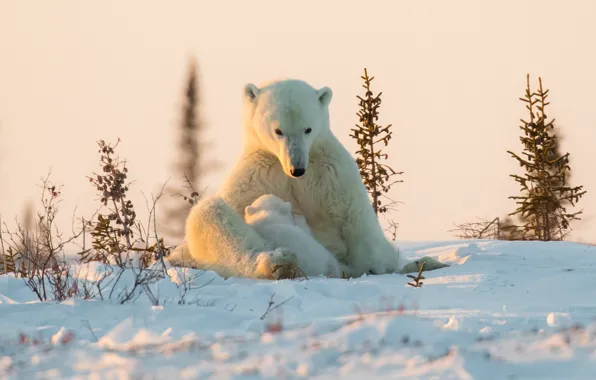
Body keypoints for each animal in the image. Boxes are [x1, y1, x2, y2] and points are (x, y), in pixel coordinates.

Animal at [169, 78, 448, 280]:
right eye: (278, 130)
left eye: (308, 128)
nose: (297, 169)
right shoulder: (257, 173)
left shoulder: (331, 173)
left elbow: (357, 222)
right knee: (208, 212)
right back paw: (276, 263)